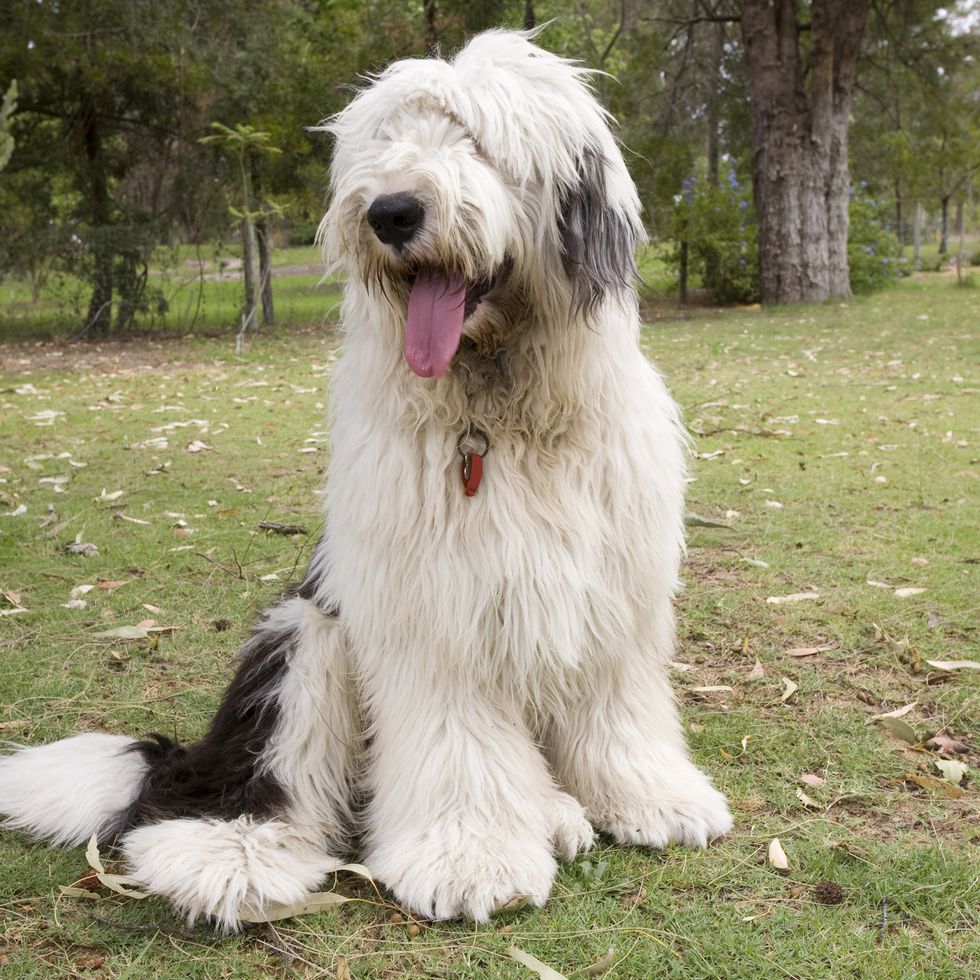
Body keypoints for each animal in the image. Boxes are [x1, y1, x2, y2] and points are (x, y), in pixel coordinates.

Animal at [0, 30, 732, 932]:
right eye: (386, 141)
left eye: (478, 141)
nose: (390, 212)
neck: (497, 415)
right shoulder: (431, 607)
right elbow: (456, 739)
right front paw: (470, 857)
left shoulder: (612, 591)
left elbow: (616, 704)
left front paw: (650, 797)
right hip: (303, 640)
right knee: (249, 781)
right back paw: (233, 854)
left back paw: (558, 812)